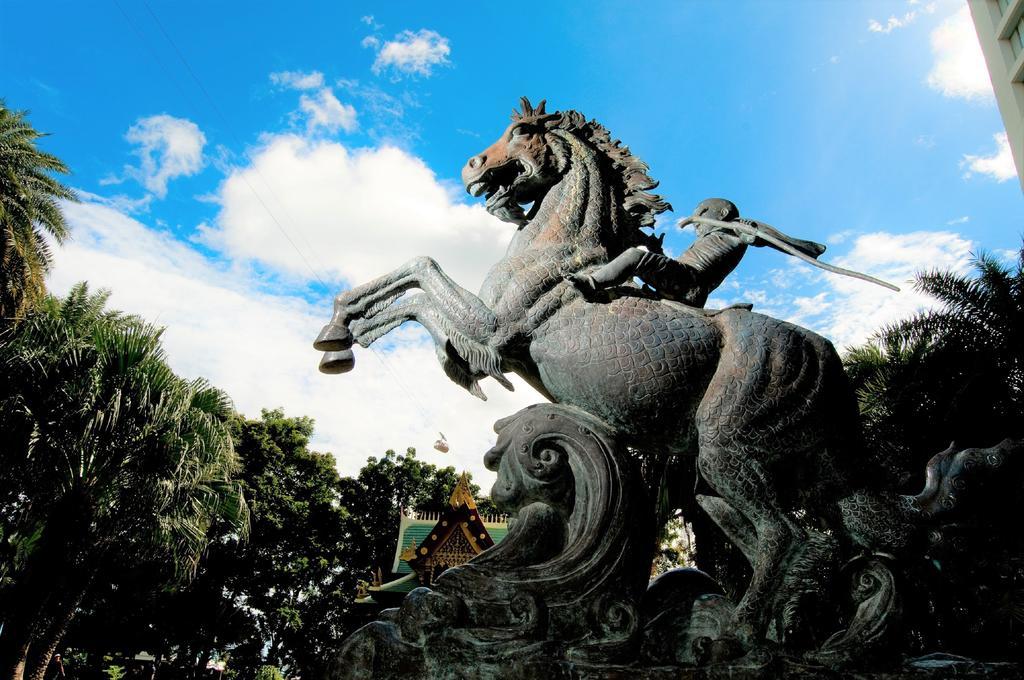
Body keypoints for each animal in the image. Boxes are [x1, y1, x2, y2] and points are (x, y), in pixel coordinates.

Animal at [311, 98, 872, 647]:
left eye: (521, 132)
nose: (471, 165)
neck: (557, 246)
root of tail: (825, 355)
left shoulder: (495, 331)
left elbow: (421, 276)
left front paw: (339, 339)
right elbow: (413, 291)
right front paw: (339, 336)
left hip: (727, 450)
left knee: (787, 536)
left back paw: (744, 631)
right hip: (725, 479)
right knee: (805, 542)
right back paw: (782, 629)